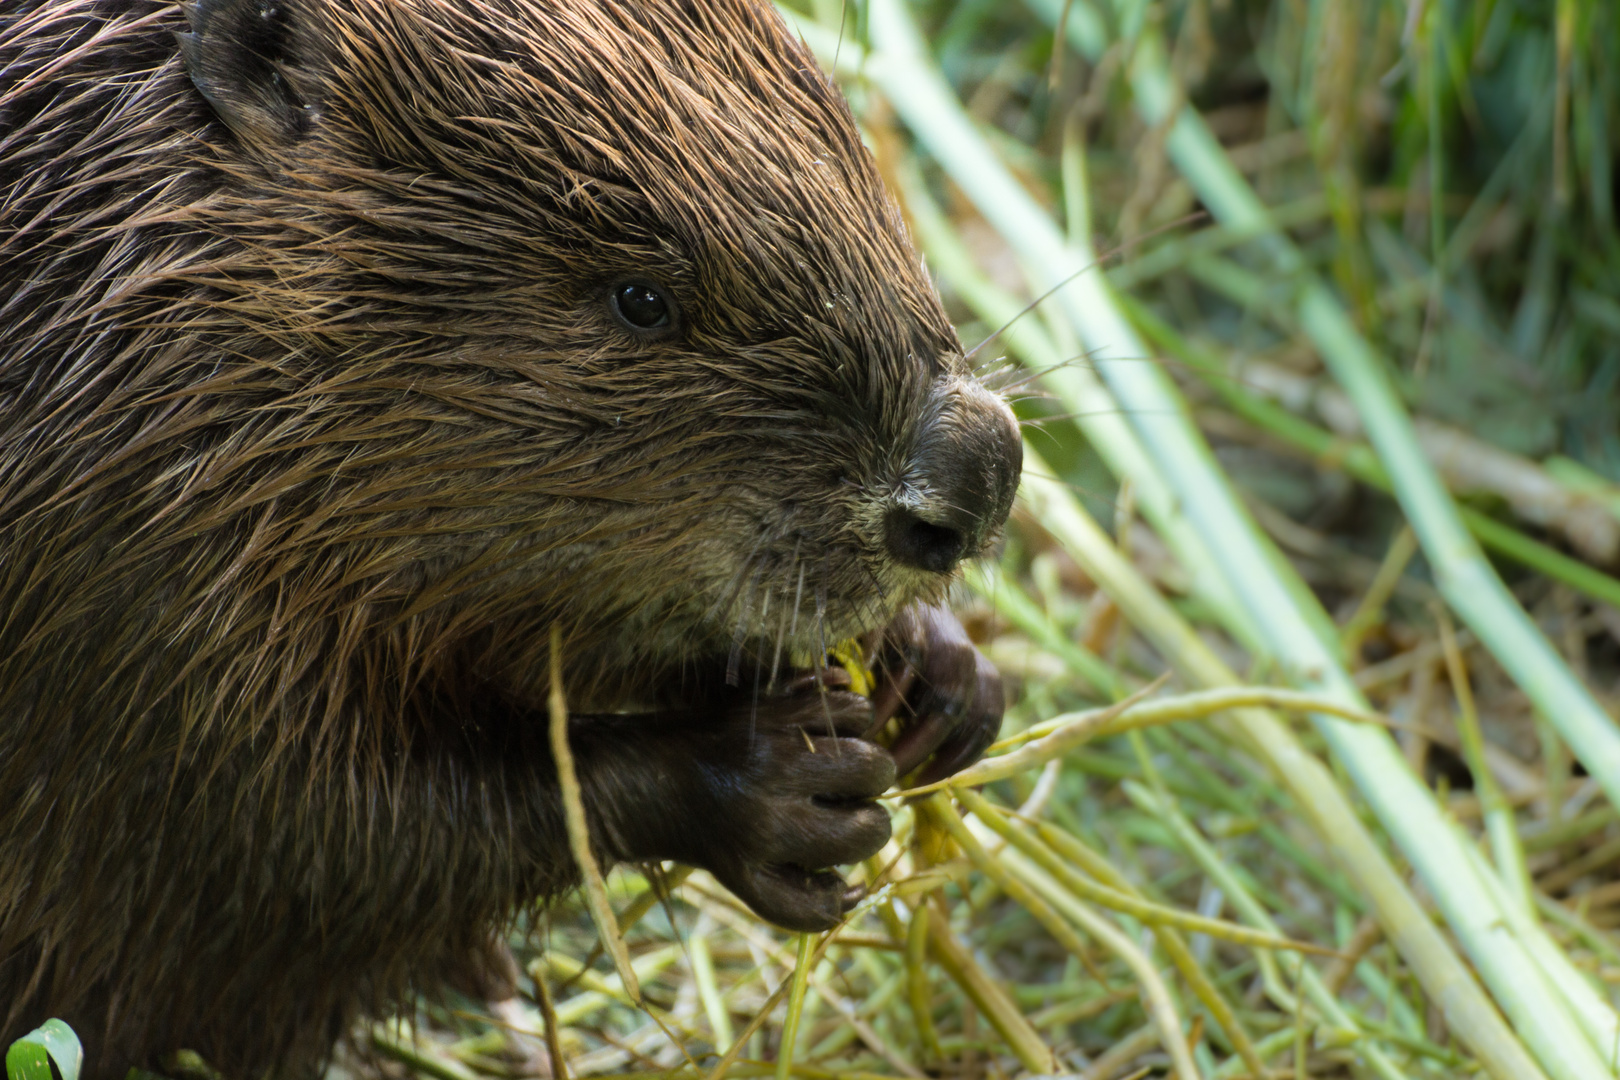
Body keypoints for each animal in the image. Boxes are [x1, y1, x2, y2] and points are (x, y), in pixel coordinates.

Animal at [0, 0, 1017, 1075]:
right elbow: (299, 834)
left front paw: (944, 683)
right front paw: (784, 786)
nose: (978, 478)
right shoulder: (127, 568)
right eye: (641, 299)